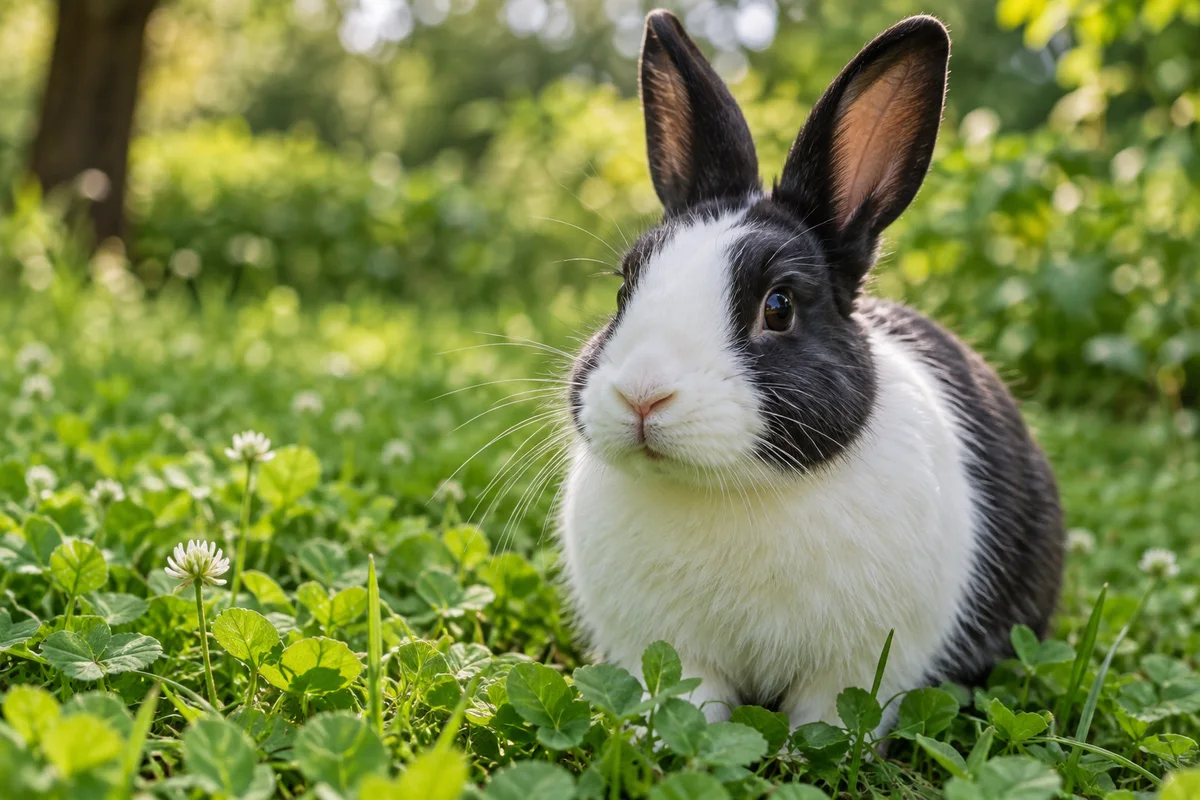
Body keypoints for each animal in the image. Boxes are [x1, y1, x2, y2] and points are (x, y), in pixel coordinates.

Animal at [557, 10, 1065, 734]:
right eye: (625, 287)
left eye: (779, 306)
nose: (643, 397)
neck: (727, 489)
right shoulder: (674, 653)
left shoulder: (859, 667)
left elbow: (829, 723)